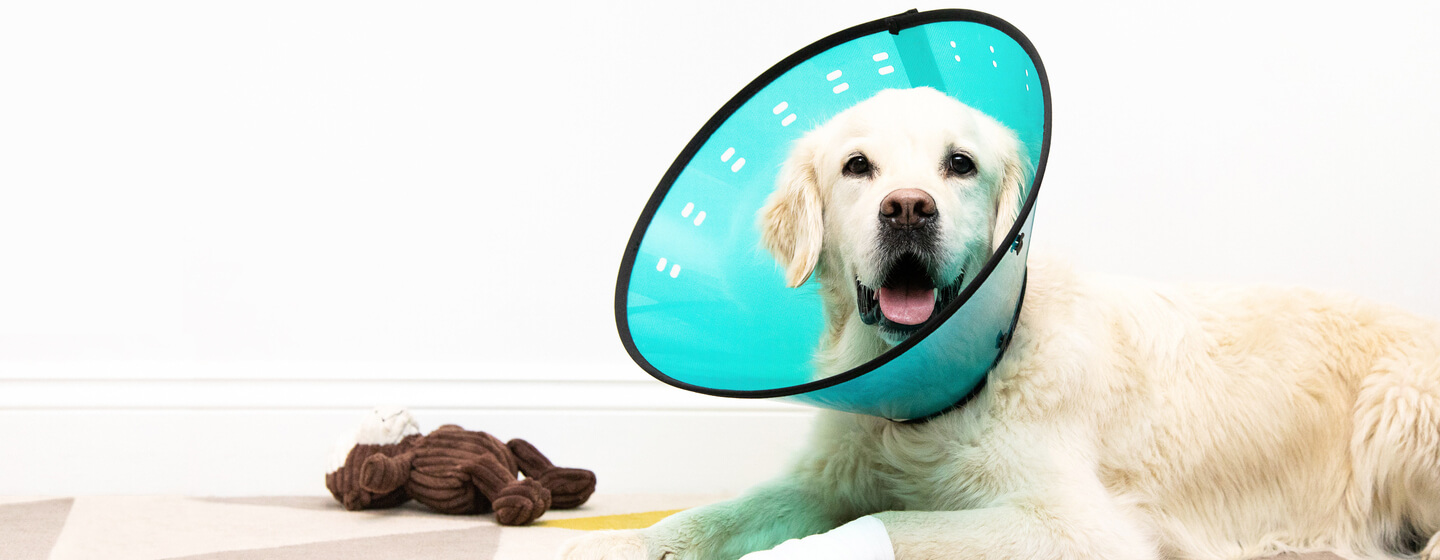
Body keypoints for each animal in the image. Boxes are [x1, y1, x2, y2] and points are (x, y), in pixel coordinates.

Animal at [564, 87, 1440, 558]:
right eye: (857, 167)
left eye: (960, 165)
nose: (907, 209)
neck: (939, 390)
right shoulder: (829, 474)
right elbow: (714, 513)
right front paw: (614, 540)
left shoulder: (1075, 527)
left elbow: (889, 524)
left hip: (1399, 403)